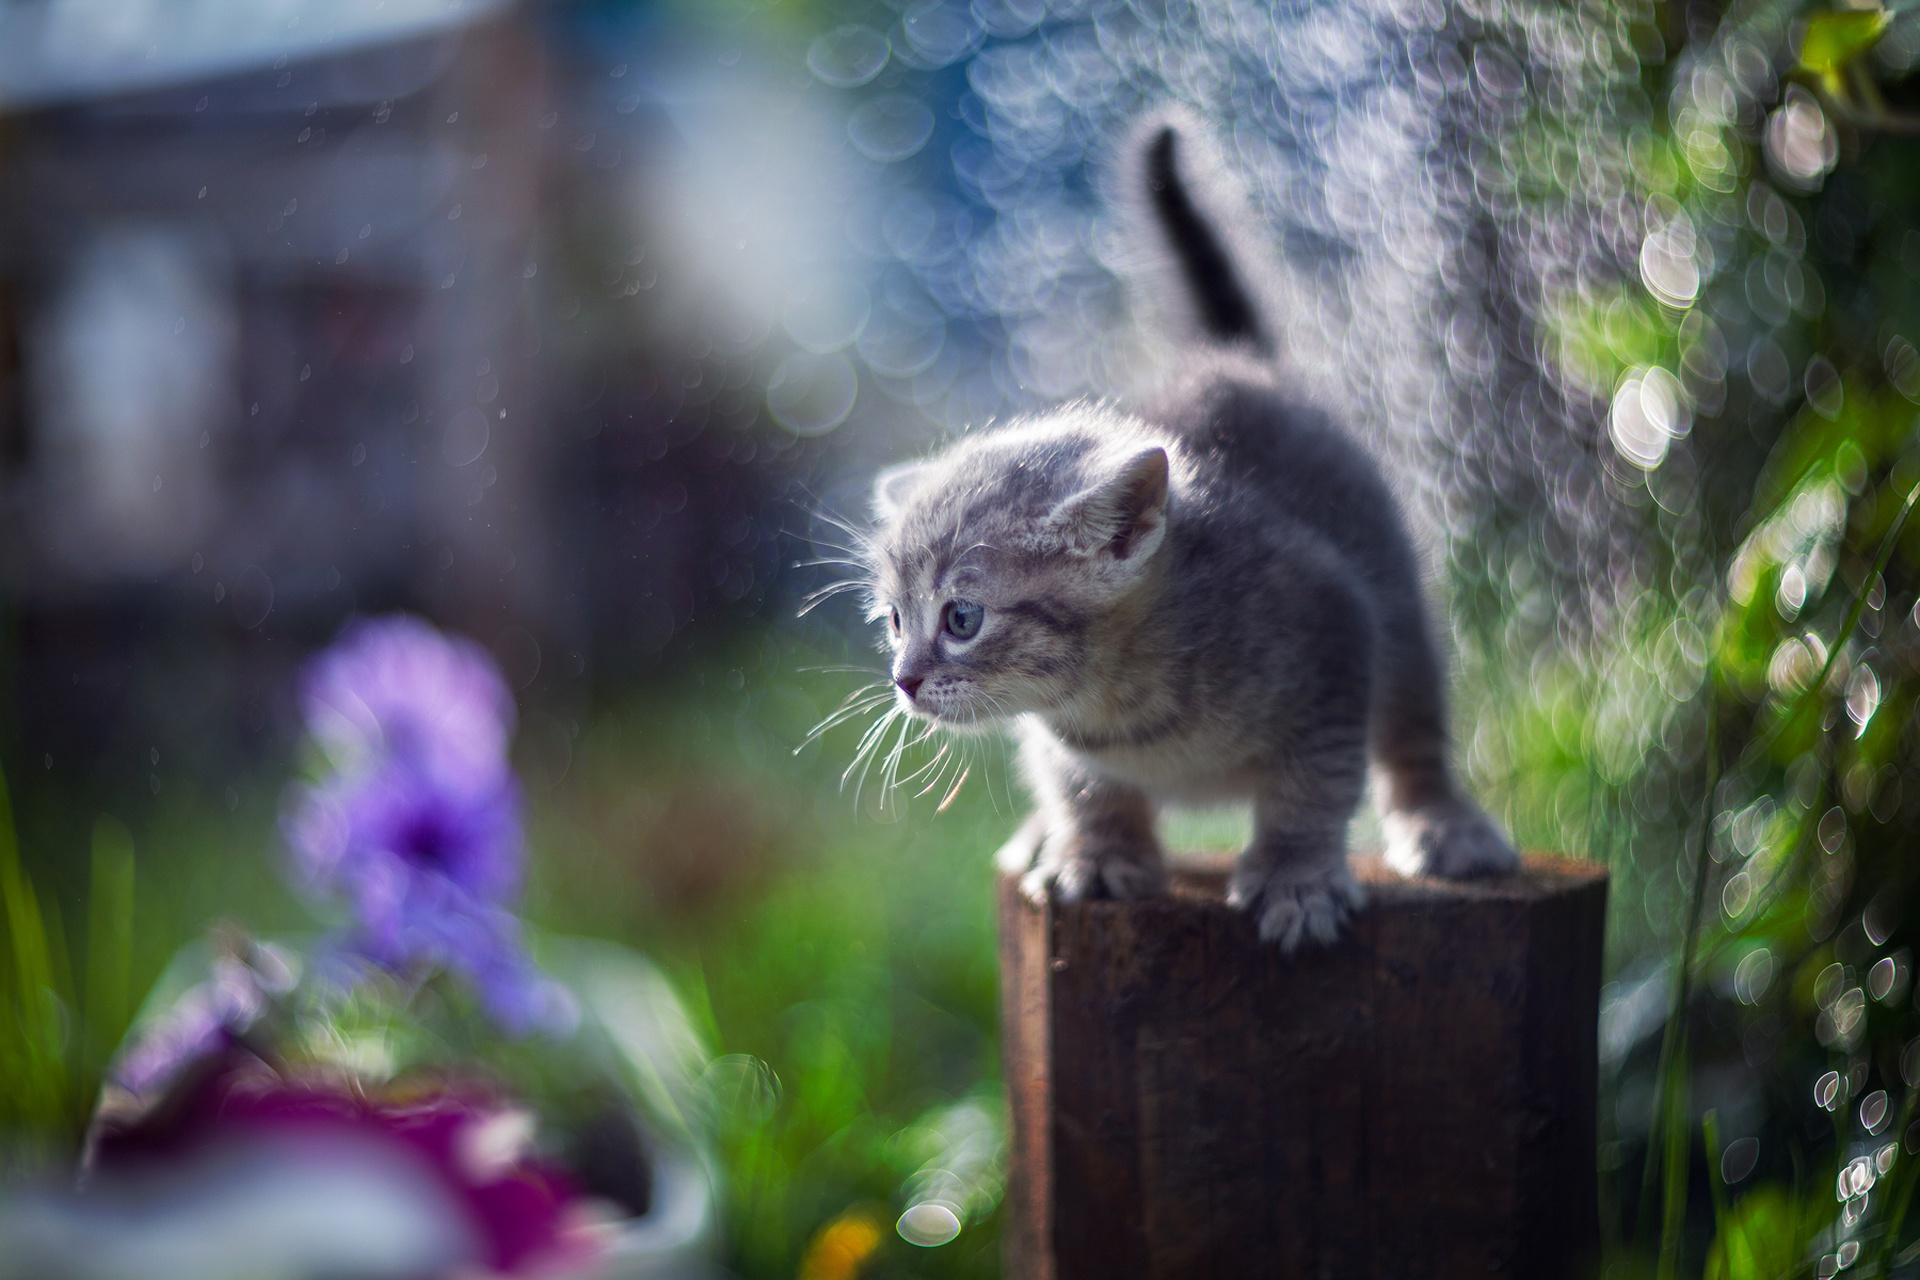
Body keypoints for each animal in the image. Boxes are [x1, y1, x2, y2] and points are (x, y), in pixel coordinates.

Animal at [860, 112, 1512, 951]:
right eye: (894, 620)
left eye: (961, 618)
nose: (903, 680)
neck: (1121, 710)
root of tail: (1236, 362)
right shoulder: (1059, 740)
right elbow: (1079, 784)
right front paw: (1096, 853)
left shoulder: (1334, 625)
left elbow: (1315, 785)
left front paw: (1296, 877)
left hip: (1393, 600)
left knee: (1411, 727)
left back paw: (1441, 822)